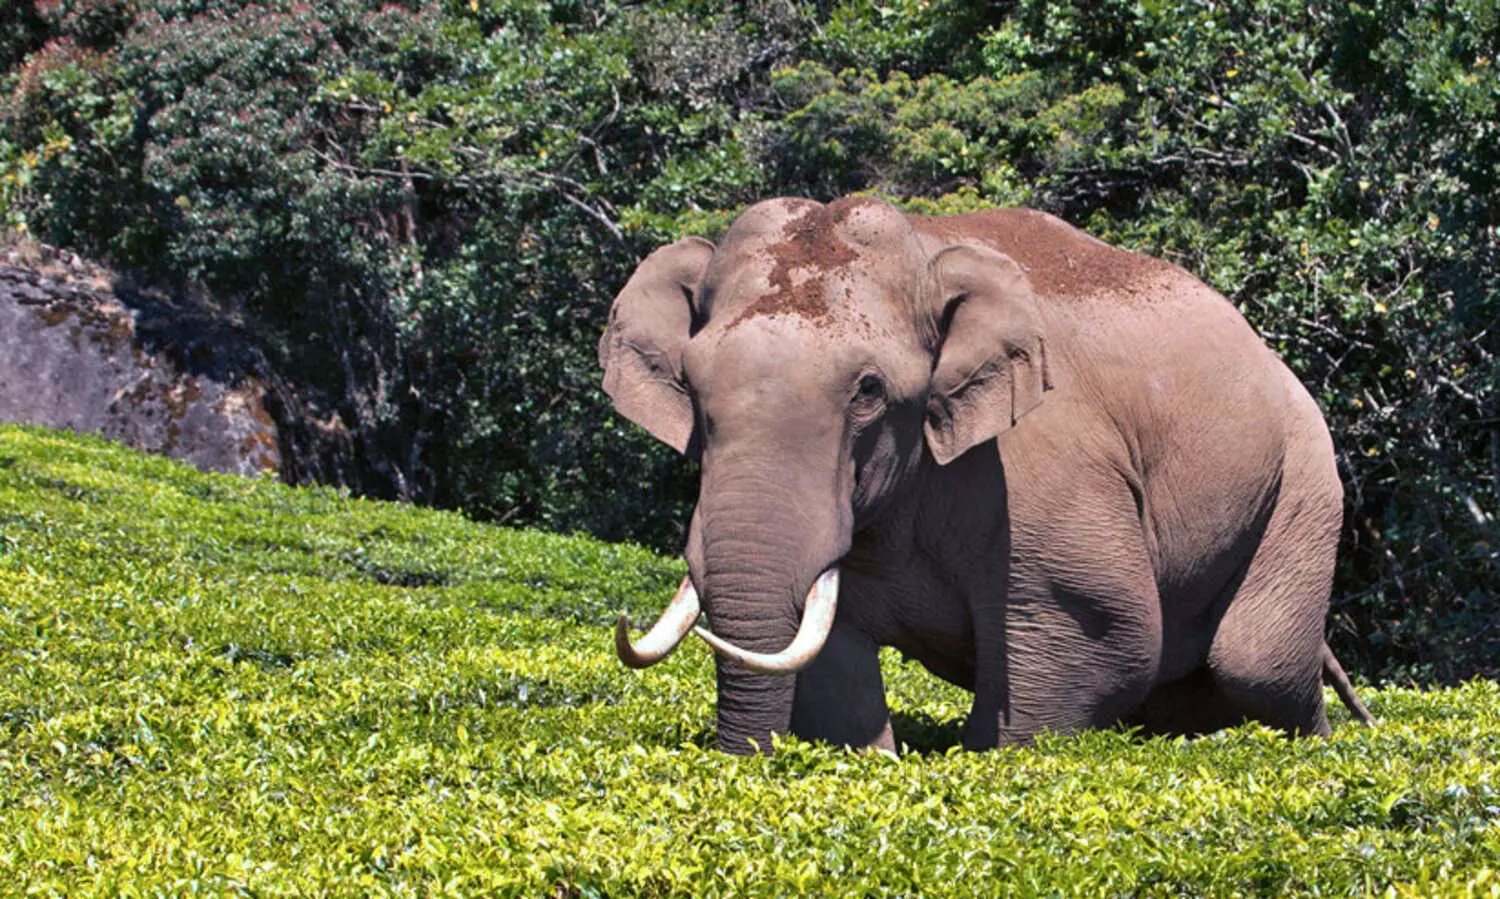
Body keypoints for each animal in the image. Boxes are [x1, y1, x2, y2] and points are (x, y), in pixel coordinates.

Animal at [599, 196, 1375, 754]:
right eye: (691, 384)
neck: (927, 246)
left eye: (870, 390)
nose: (741, 761)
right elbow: (833, 657)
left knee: (1254, 660)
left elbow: (1101, 630)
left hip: (1306, 477)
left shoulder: (1043, 466)